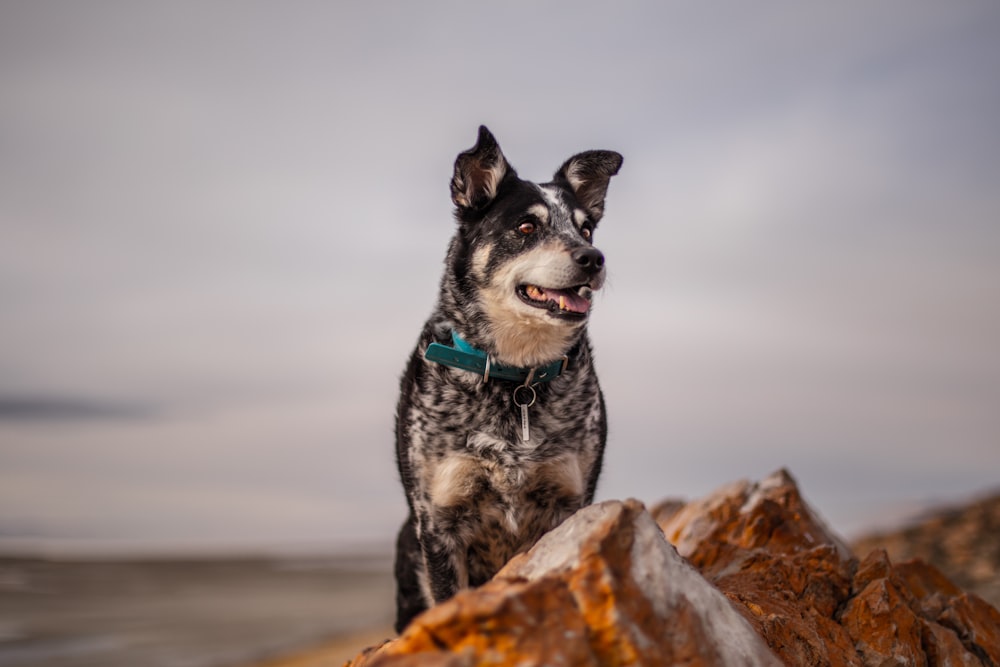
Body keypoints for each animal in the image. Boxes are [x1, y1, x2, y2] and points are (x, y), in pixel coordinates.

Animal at [394, 125, 620, 632]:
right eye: (526, 228)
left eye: (586, 228)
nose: (594, 257)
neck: (514, 377)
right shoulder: (439, 523)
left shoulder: (569, 505)